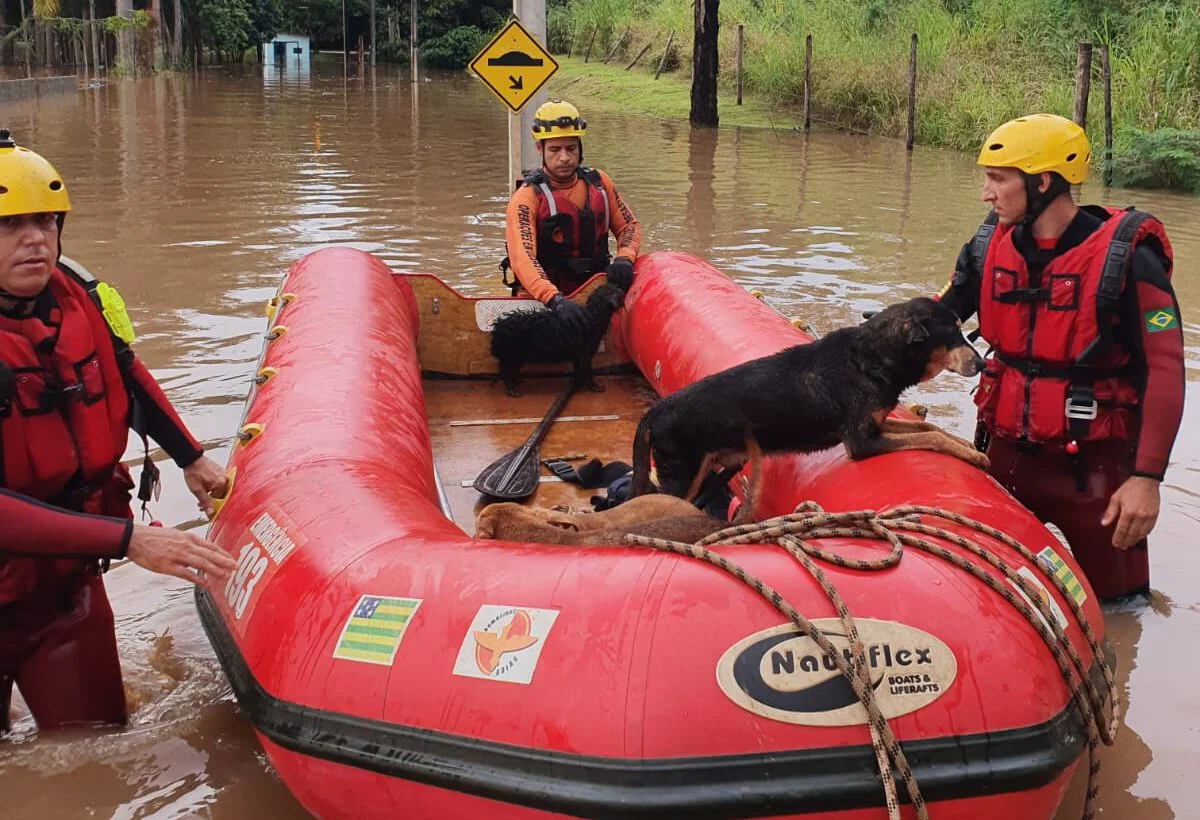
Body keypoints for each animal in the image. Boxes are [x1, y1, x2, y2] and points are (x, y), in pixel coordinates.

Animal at [489, 282, 628, 398]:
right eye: (617, 292)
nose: (623, 290)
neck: (593, 317)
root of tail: (498, 327)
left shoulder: (579, 355)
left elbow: (580, 369)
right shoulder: (584, 353)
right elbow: (587, 370)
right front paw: (595, 387)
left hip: (516, 357)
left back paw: (517, 380)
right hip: (512, 355)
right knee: (507, 373)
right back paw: (513, 391)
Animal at [628, 296, 984, 499]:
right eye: (953, 333)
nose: (982, 365)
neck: (871, 356)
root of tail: (657, 411)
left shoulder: (877, 423)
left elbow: (928, 429)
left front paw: (967, 447)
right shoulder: (860, 442)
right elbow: (931, 439)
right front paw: (975, 456)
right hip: (682, 477)